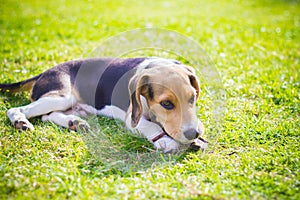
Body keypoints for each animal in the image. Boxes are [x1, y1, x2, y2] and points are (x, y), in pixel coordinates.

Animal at [0, 57, 207, 153]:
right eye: (166, 103)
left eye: (192, 98)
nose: (193, 134)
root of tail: (43, 73)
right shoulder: (132, 118)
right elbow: (151, 126)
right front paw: (167, 140)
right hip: (62, 95)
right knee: (19, 109)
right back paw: (20, 121)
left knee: (47, 116)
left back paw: (74, 122)